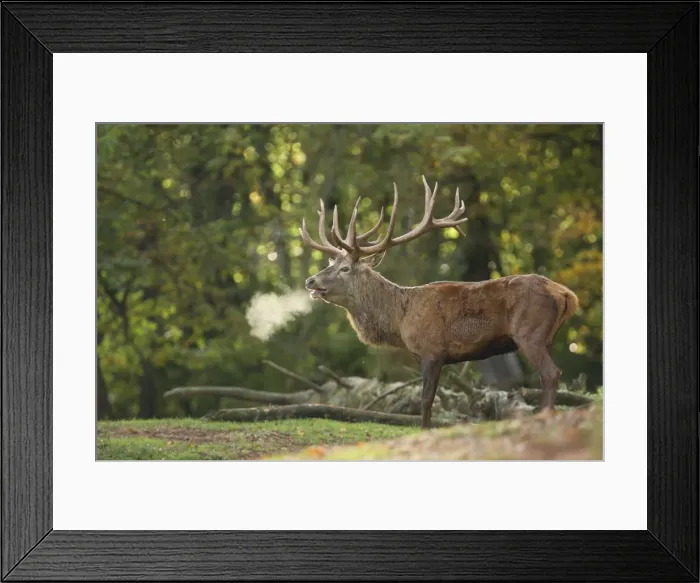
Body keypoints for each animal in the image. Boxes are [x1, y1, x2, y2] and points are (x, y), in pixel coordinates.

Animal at [299, 176, 579, 429]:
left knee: (551, 374)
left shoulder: (432, 351)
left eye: (345, 268)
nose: (310, 281)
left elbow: (426, 401)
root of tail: (567, 294)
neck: (399, 318)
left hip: (529, 333)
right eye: (330, 263)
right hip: (547, 337)